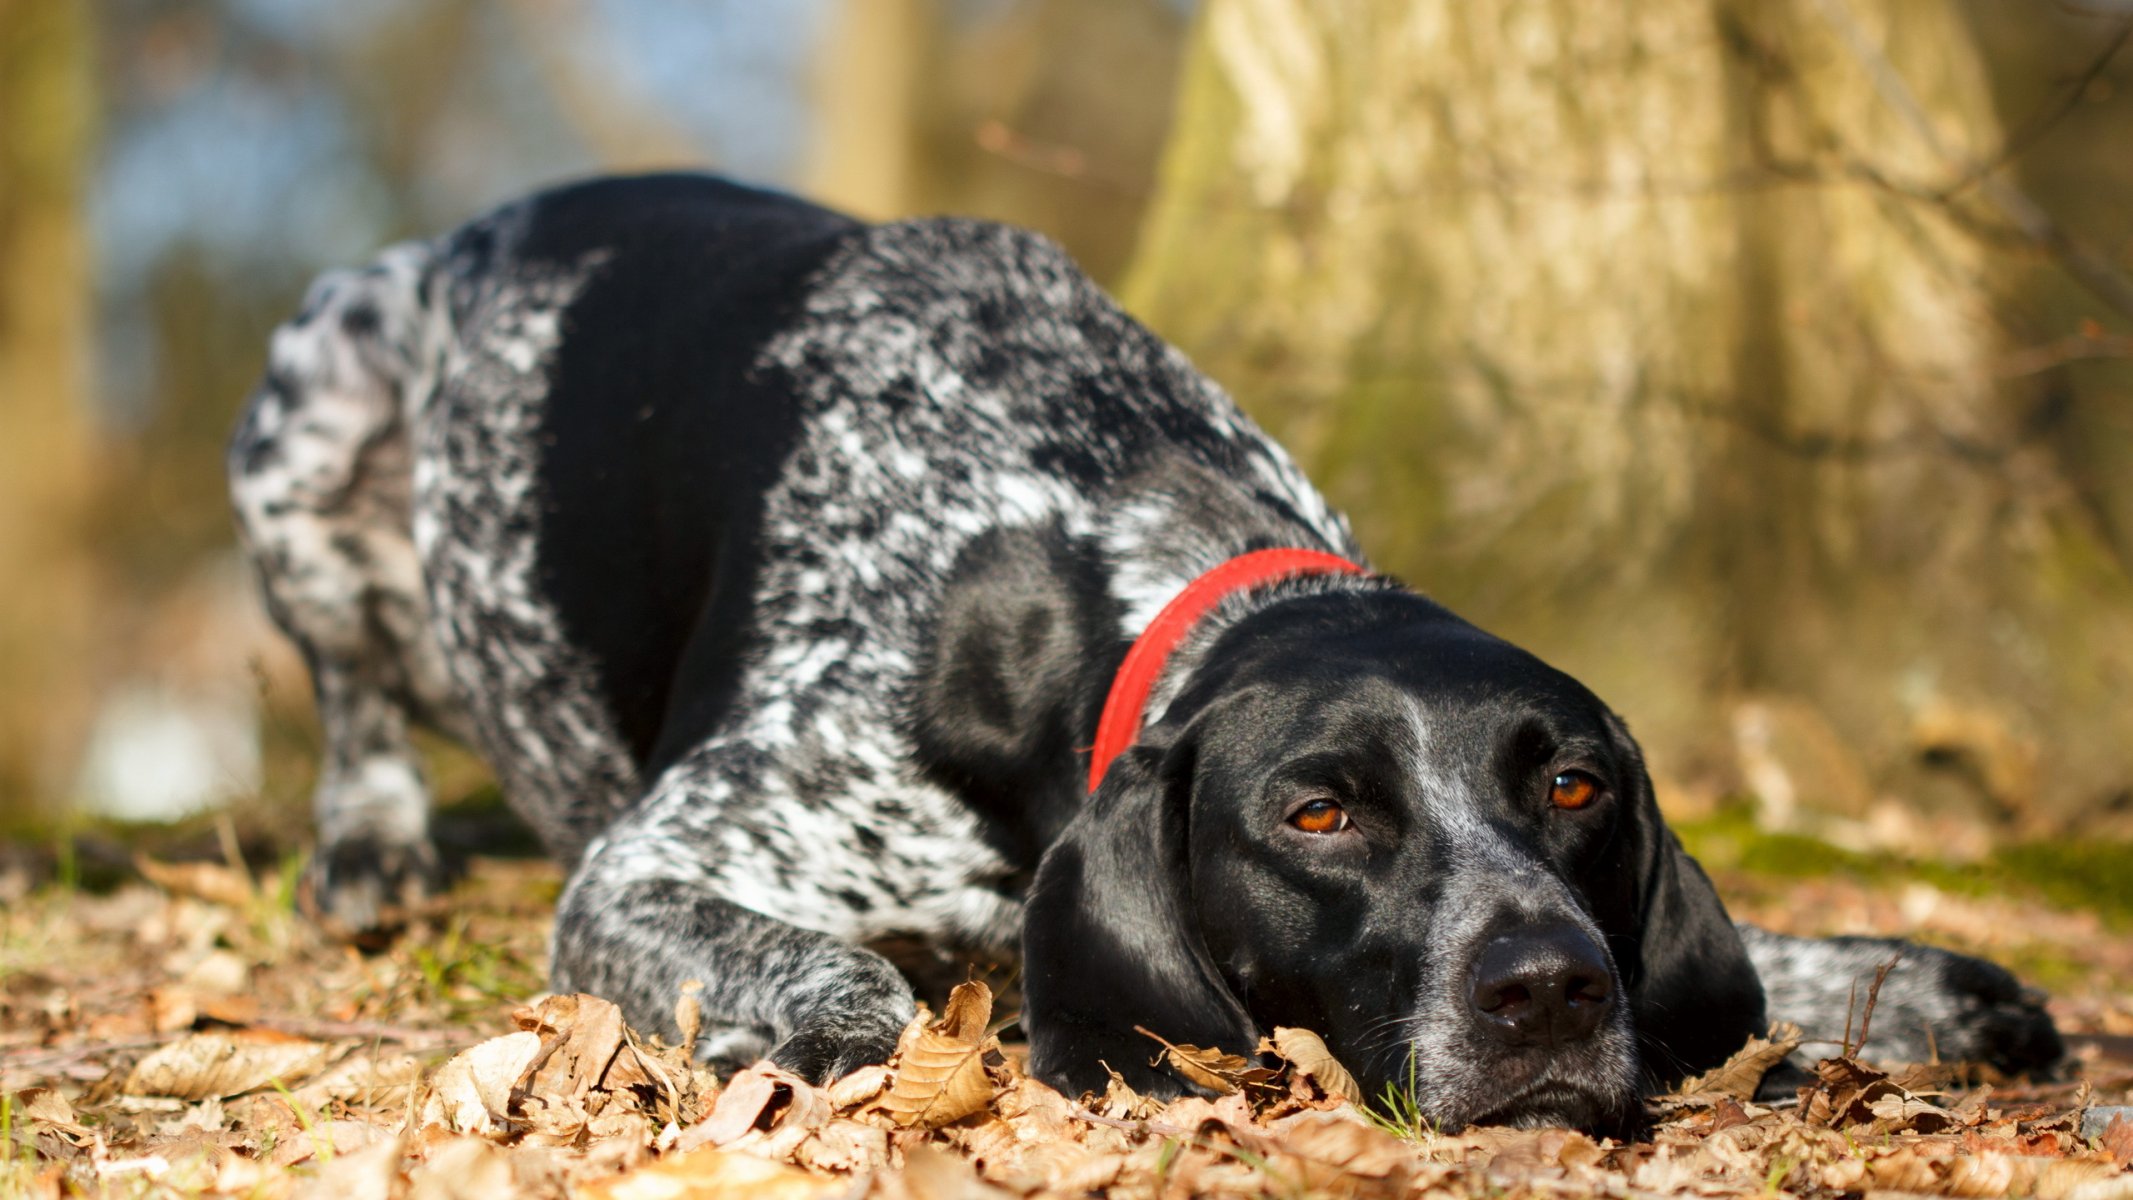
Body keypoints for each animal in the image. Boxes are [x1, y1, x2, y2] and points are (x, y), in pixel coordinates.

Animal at [233, 171, 2064, 1133]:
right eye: (1317, 815)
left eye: (1573, 788)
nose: (1545, 990)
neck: (1090, 541)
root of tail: (471, 230)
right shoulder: (644, 873)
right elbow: (852, 988)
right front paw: (840, 1040)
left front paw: (1895, 980)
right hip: (311, 408)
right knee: (353, 701)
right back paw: (369, 843)